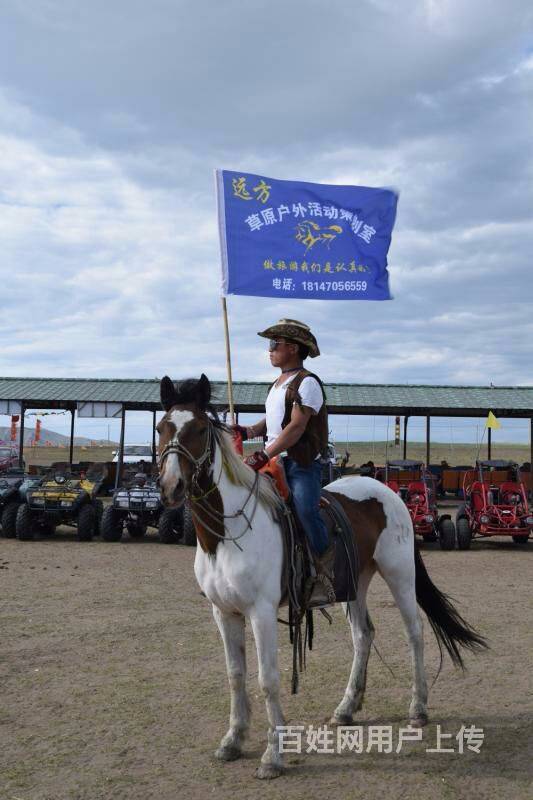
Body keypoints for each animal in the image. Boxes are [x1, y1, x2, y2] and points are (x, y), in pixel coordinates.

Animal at [156, 376, 484, 780]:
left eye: (200, 429)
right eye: (162, 427)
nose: (171, 487)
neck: (227, 534)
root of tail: (389, 492)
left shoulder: (261, 612)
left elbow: (267, 679)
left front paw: (272, 756)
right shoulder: (224, 612)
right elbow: (235, 675)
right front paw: (233, 740)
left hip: (399, 575)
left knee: (415, 634)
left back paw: (418, 708)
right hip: (354, 585)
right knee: (363, 635)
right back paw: (347, 708)